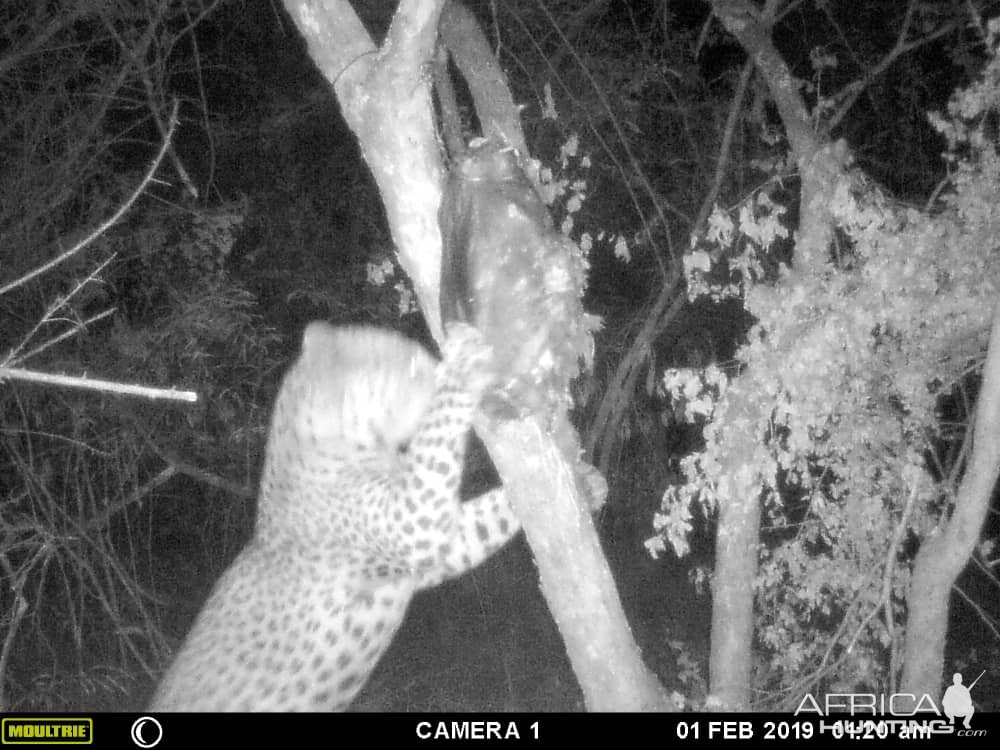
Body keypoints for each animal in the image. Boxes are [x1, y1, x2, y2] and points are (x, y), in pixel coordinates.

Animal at [152, 322, 524, 712]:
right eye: (411, 363)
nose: (435, 365)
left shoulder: (433, 552)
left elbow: (489, 516)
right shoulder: (414, 521)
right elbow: (437, 433)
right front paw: (463, 364)